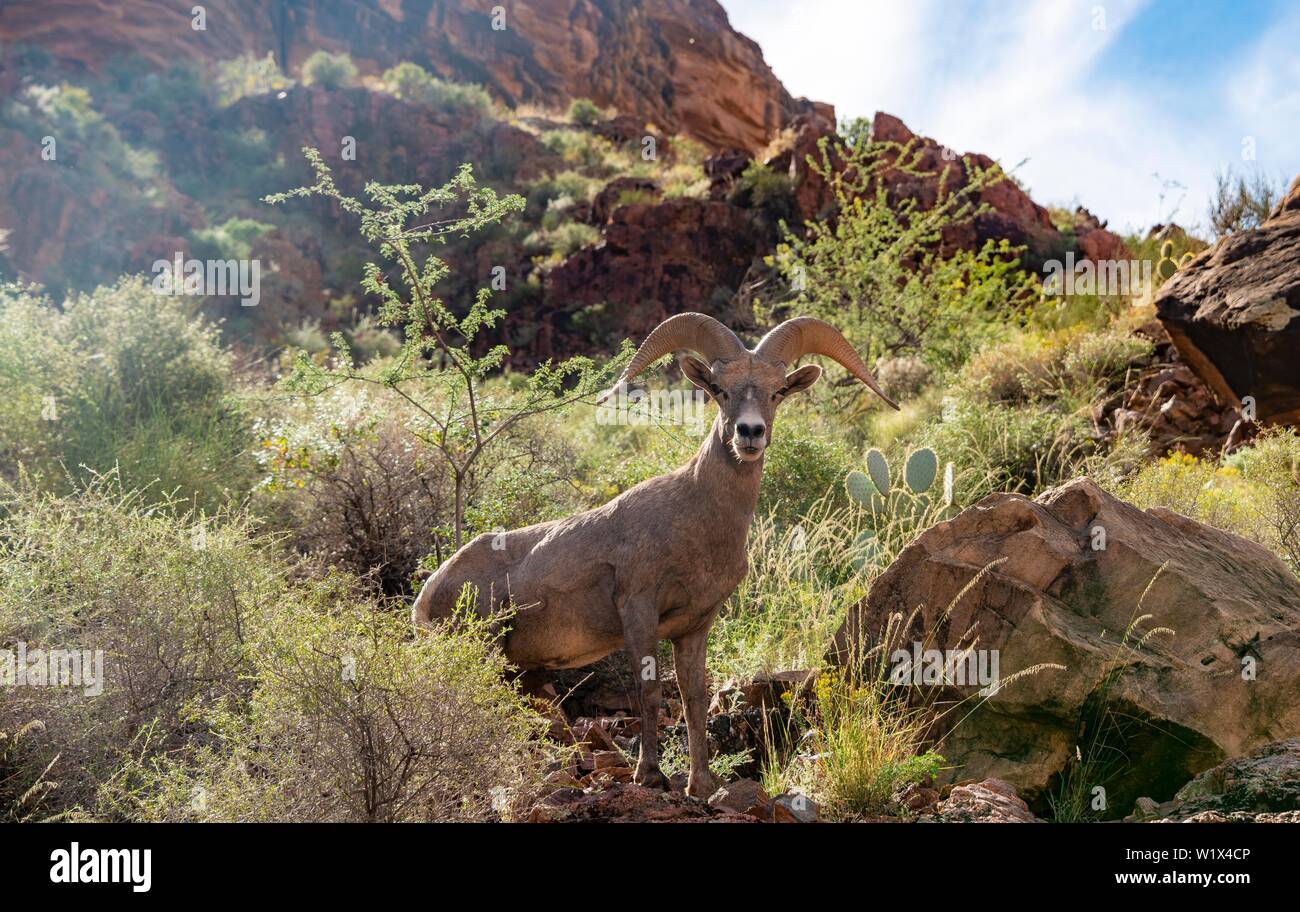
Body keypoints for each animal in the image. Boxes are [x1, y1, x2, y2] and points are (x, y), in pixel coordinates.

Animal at [413, 314, 894, 800]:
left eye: (777, 391)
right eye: (719, 389)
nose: (749, 433)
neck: (698, 519)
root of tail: (429, 593)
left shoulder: (695, 627)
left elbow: (693, 697)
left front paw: (701, 784)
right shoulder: (638, 612)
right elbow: (648, 693)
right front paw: (650, 776)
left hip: (519, 670)